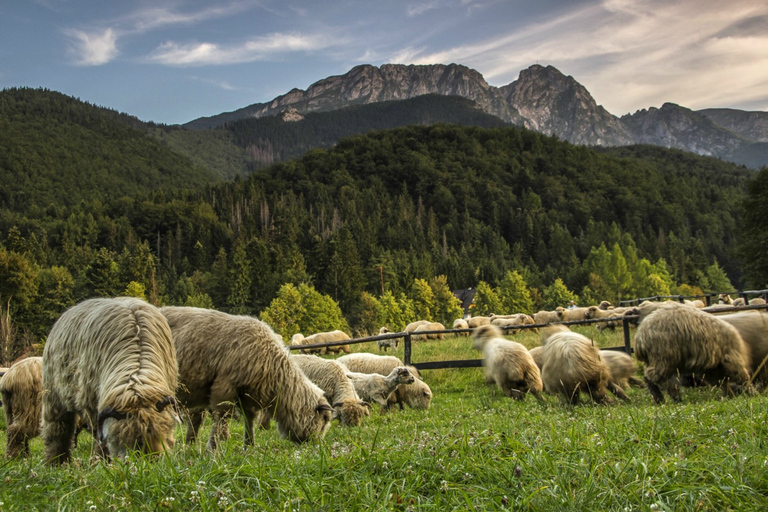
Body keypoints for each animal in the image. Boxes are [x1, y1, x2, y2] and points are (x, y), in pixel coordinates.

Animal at [42, 296, 179, 464]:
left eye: (157, 434)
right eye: (124, 441)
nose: (149, 459)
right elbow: (100, 437)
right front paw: (101, 460)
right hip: (53, 396)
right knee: (57, 430)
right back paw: (57, 462)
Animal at [160, 308, 332, 448]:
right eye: (324, 419)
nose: (317, 445)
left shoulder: (248, 396)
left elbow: (249, 420)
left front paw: (249, 446)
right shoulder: (224, 387)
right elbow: (222, 418)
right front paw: (215, 447)